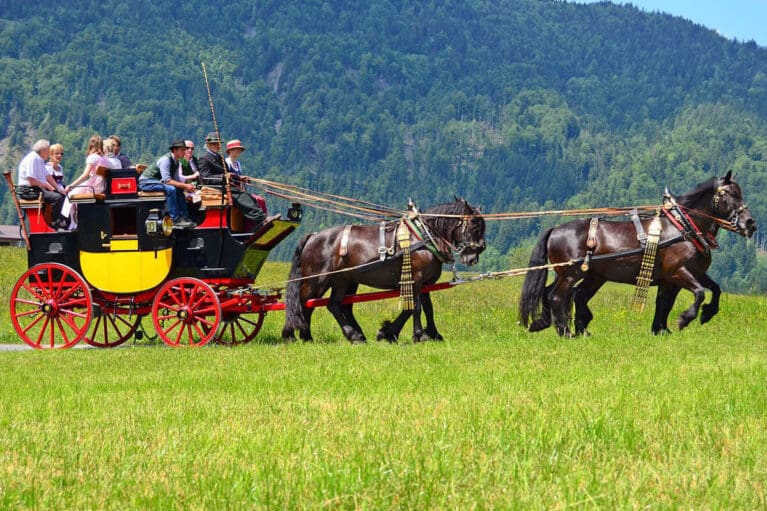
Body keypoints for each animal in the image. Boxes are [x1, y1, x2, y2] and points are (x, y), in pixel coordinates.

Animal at [282, 199, 486, 344]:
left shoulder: (425, 283)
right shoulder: (416, 280)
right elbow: (415, 308)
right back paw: (294, 334)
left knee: (332, 305)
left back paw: (345, 335)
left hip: (342, 280)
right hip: (317, 280)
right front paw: (417, 335)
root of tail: (313, 236)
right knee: (302, 302)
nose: (475, 256)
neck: (422, 237)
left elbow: (426, 308)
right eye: (475, 226)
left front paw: (428, 334)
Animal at [520, 174, 756, 338]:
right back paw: (566, 332)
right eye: (731, 195)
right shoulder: (679, 272)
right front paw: (685, 319)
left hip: (589, 276)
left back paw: (569, 327)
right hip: (571, 273)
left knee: (565, 294)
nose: (750, 223)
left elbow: (701, 293)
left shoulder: (682, 276)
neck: (682, 227)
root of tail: (556, 229)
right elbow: (698, 293)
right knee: (557, 296)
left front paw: (665, 328)